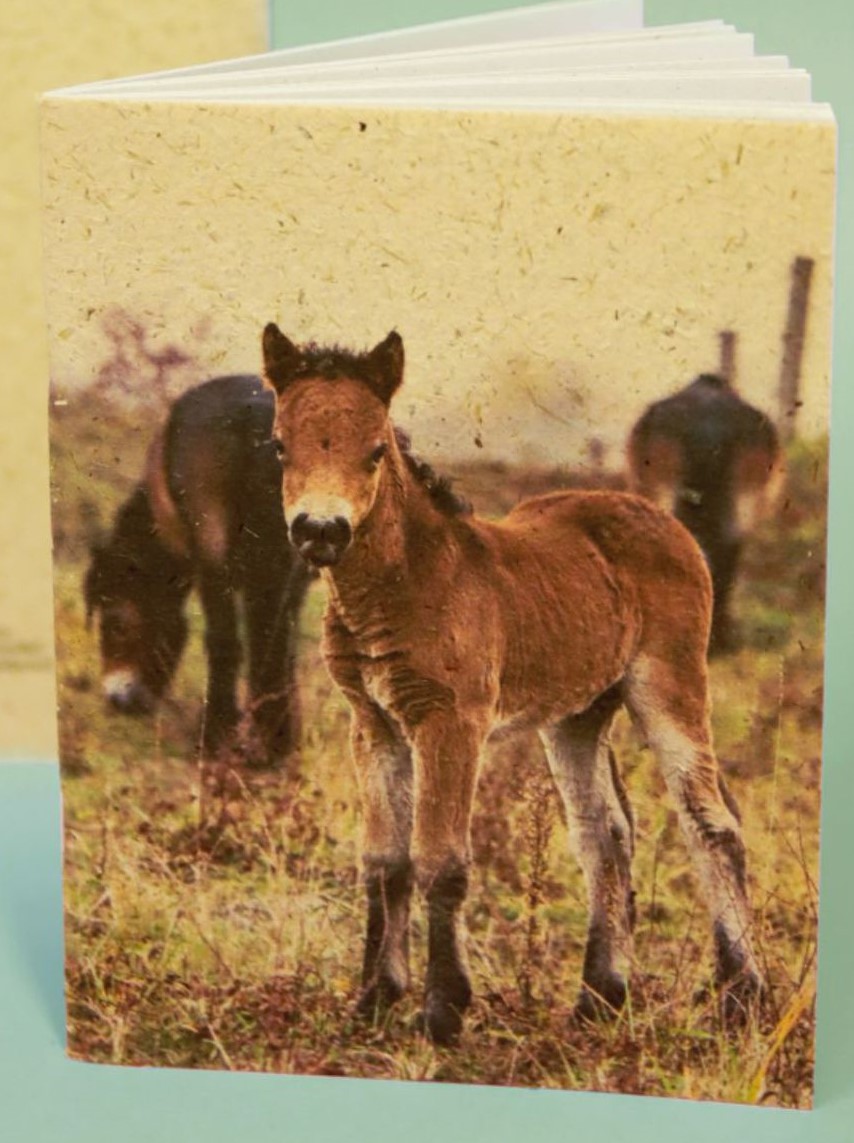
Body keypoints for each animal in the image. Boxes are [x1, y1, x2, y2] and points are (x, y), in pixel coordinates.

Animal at [83, 377, 308, 768]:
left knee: (225, 642)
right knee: (268, 645)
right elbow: (283, 644)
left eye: (115, 624)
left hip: (214, 554)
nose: (119, 701)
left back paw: (219, 736)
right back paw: (269, 744)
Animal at [260, 324, 763, 1046]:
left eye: (376, 449)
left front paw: (442, 1011)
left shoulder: (451, 722)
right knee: (604, 834)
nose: (320, 532)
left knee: (712, 823)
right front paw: (373, 999)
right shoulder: (374, 725)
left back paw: (740, 996)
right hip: (576, 715)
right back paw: (599, 997)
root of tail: (659, 516)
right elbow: (384, 861)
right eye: (279, 445)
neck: (412, 580)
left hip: (669, 682)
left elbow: (439, 858)